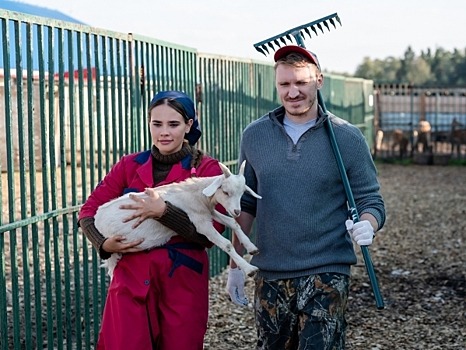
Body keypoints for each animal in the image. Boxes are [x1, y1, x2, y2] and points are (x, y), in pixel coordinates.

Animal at [93, 161, 262, 278]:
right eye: (226, 192)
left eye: (243, 192)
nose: (237, 211)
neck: (198, 194)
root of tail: (97, 217)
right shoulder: (200, 222)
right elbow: (226, 244)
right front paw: (249, 269)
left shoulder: (208, 212)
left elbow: (232, 222)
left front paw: (251, 247)